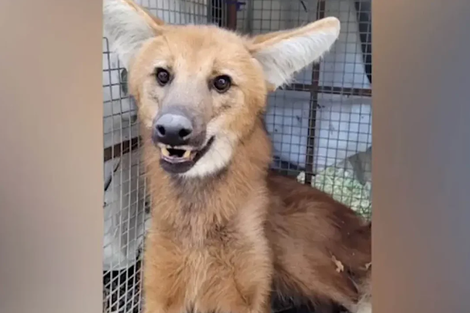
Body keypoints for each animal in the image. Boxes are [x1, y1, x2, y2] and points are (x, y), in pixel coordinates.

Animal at [103, 0, 370, 312]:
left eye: (222, 82)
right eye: (162, 75)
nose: (171, 130)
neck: (199, 228)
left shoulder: (245, 294)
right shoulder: (161, 290)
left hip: (296, 257)